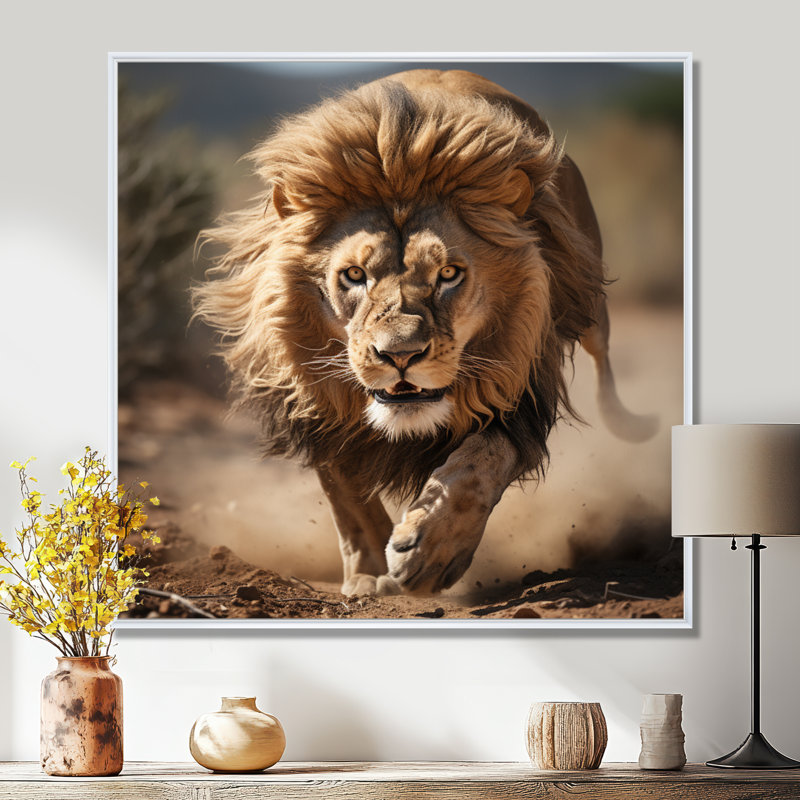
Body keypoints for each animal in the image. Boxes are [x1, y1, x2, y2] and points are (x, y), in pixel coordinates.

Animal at [193, 69, 656, 597]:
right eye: (354, 275)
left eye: (449, 273)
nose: (399, 356)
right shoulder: (317, 405)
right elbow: (346, 494)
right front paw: (368, 574)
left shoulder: (519, 388)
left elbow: (481, 462)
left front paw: (429, 550)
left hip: (589, 299)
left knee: (605, 369)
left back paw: (636, 425)